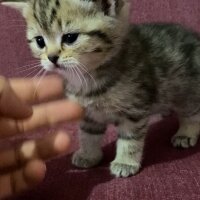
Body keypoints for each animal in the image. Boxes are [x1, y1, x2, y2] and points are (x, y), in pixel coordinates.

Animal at [2, 0, 200, 178]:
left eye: (70, 38)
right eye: (40, 41)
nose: (51, 57)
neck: (87, 80)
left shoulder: (134, 110)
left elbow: (130, 138)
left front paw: (125, 162)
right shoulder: (88, 114)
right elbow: (88, 135)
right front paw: (88, 155)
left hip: (186, 89)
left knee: (192, 112)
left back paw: (185, 133)